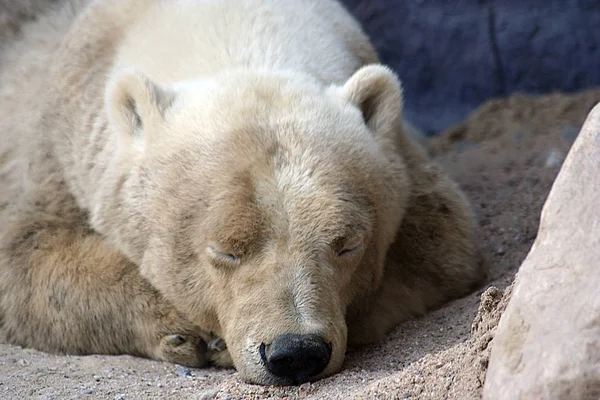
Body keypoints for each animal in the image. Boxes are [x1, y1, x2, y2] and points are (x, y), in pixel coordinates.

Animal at [0, 0, 488, 386]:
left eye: (347, 244)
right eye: (225, 250)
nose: (295, 354)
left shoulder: (406, 157)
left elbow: (443, 244)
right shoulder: (60, 146)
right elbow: (26, 258)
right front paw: (188, 332)